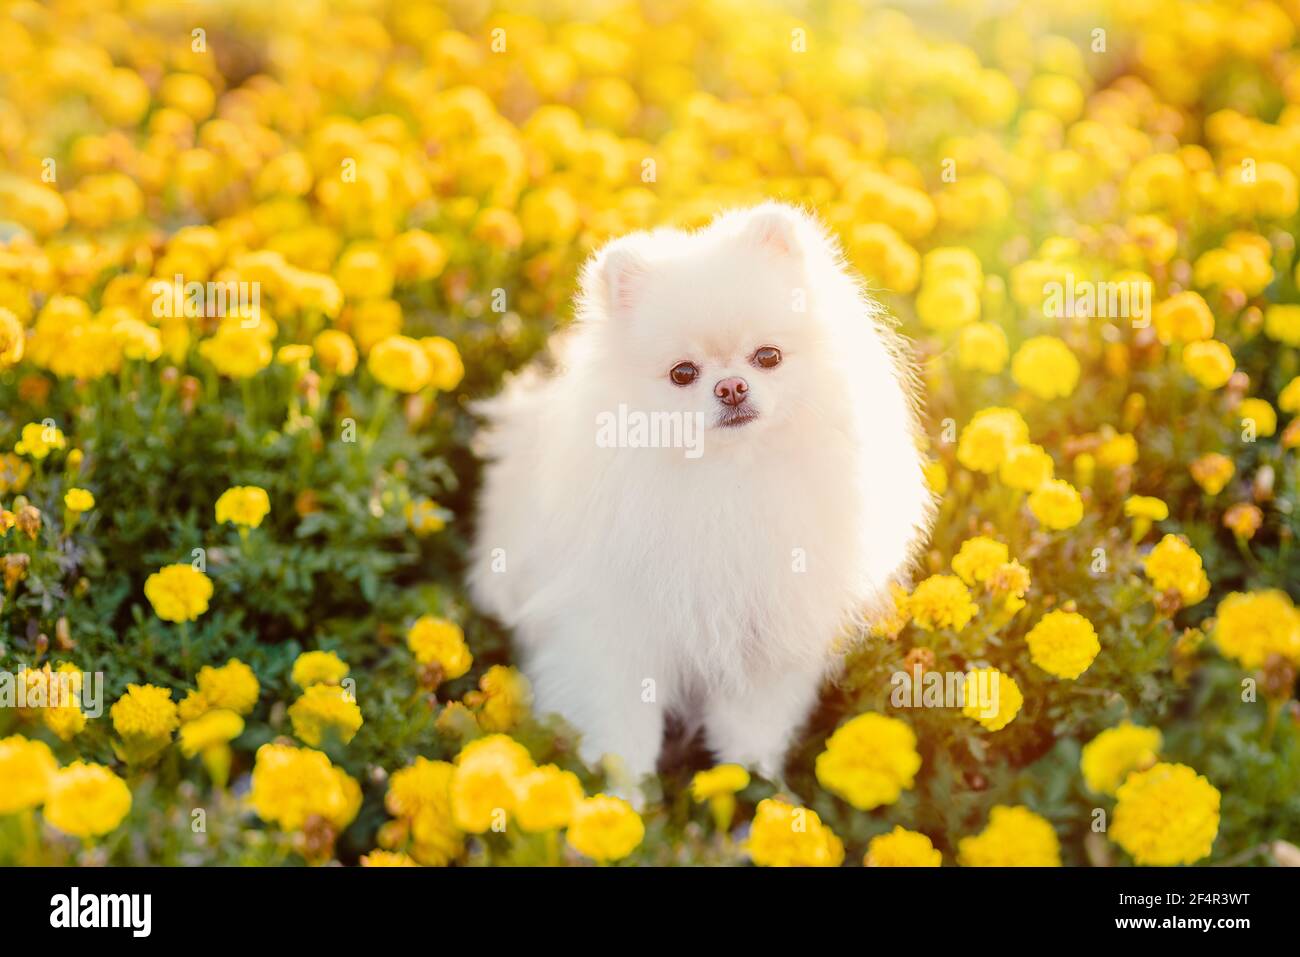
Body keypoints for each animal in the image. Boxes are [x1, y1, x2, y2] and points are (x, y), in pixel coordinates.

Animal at [467, 201, 935, 785]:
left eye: (767, 357)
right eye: (683, 372)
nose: (731, 387)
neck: (728, 478)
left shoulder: (768, 633)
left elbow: (752, 727)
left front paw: (753, 783)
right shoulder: (611, 635)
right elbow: (622, 730)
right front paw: (621, 800)